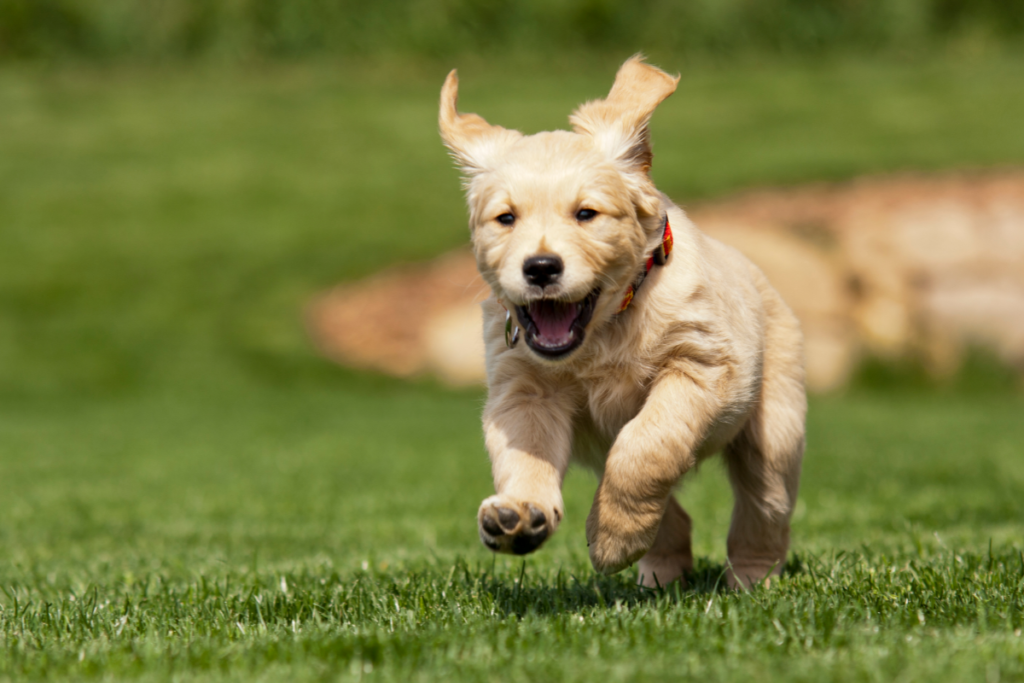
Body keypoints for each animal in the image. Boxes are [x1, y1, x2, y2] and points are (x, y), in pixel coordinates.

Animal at [436, 56, 802, 589]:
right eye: (506, 218)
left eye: (586, 214)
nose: (540, 268)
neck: (606, 329)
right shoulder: (524, 391)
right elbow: (527, 455)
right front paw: (520, 514)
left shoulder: (702, 366)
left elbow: (646, 446)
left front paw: (612, 539)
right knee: (673, 514)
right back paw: (659, 572)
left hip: (775, 428)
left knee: (763, 507)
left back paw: (751, 580)